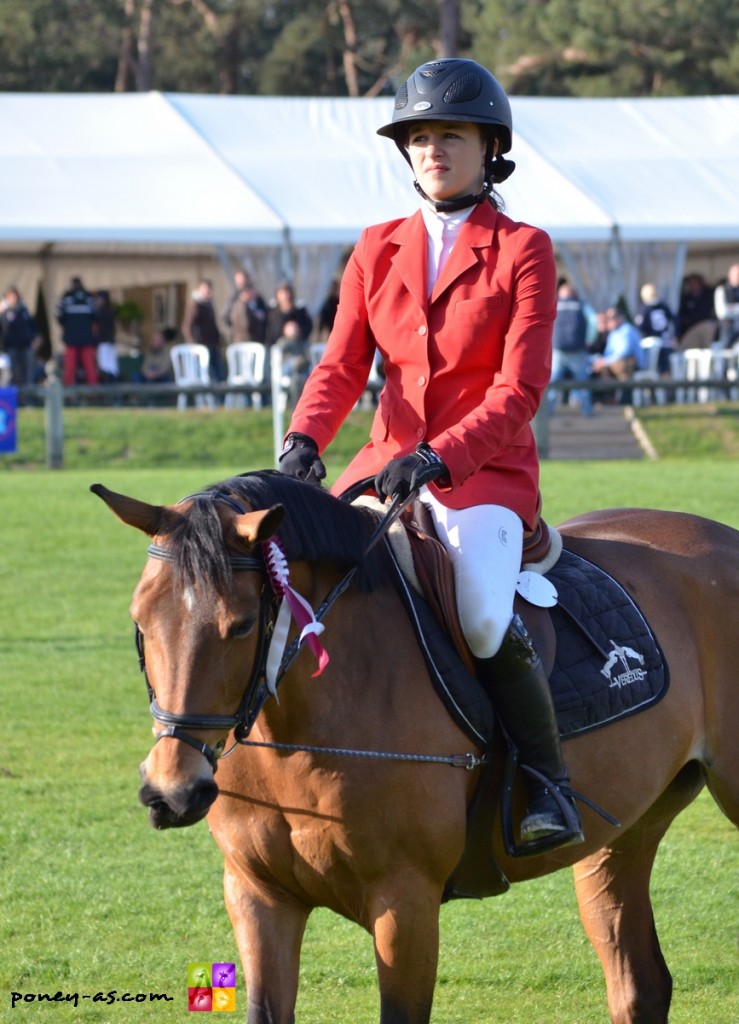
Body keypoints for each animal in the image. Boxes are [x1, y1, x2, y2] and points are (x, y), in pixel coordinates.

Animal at [92, 473, 736, 1024]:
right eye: (140, 620)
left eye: (244, 624)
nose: (172, 792)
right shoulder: (258, 895)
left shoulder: (405, 904)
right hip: (622, 836)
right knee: (640, 985)